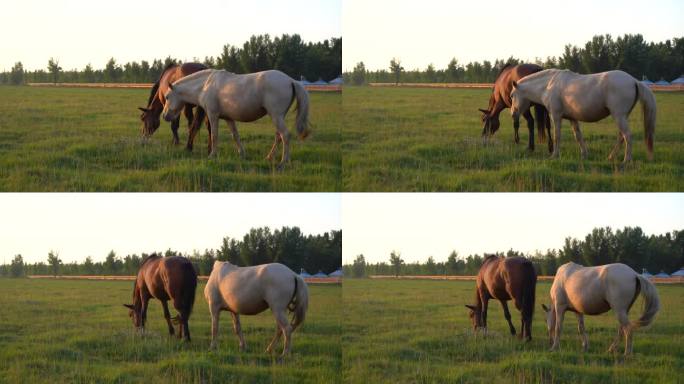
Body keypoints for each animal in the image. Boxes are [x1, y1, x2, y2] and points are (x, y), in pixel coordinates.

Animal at [160, 70, 310, 169]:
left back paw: (283, 162)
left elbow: (214, 135)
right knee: (279, 136)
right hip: (278, 117)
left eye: (167, 97)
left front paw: (212, 155)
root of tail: (291, 80)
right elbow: (235, 136)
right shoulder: (228, 118)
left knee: (285, 135)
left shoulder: (213, 115)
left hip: (276, 116)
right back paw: (269, 157)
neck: (205, 85)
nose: (165, 116)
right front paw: (241, 154)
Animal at [510, 70, 656, 163]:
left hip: (619, 116)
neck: (549, 85)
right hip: (622, 117)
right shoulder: (572, 119)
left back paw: (626, 160)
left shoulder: (556, 116)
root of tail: (634, 81)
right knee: (622, 137)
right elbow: (578, 136)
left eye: (512, 96)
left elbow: (557, 136)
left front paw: (554, 155)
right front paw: (584, 154)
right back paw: (611, 157)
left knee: (627, 136)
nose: (512, 114)